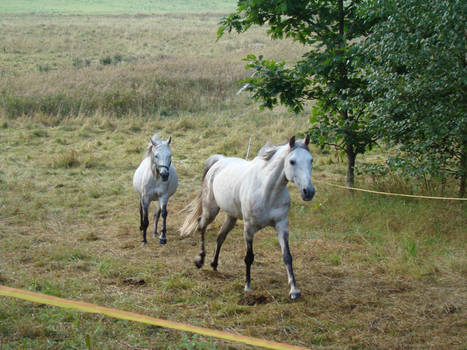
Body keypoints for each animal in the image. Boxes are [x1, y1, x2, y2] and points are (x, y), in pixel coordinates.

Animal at [181, 135, 316, 300]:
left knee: (220, 236)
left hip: (231, 216)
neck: (267, 191)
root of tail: (220, 161)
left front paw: (294, 290)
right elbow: (249, 257)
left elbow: (287, 256)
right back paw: (200, 260)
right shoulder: (249, 229)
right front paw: (247, 286)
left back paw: (214, 264)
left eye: (311, 160)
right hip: (210, 210)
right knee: (201, 225)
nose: (308, 192)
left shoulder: (282, 225)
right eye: (292, 161)